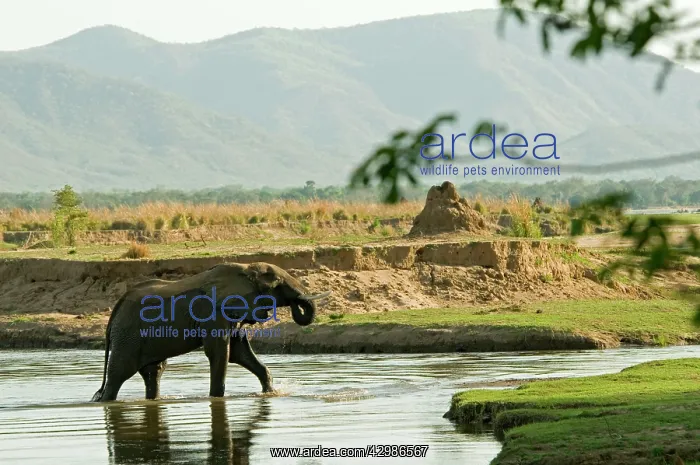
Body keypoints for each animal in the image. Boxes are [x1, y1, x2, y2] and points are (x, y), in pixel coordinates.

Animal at [90, 262, 330, 402]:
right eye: (277, 284)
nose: (297, 305)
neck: (245, 269)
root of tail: (114, 313)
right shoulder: (212, 312)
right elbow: (220, 352)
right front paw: (216, 398)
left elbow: (239, 352)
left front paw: (270, 393)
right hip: (128, 337)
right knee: (119, 374)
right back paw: (103, 401)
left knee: (153, 372)